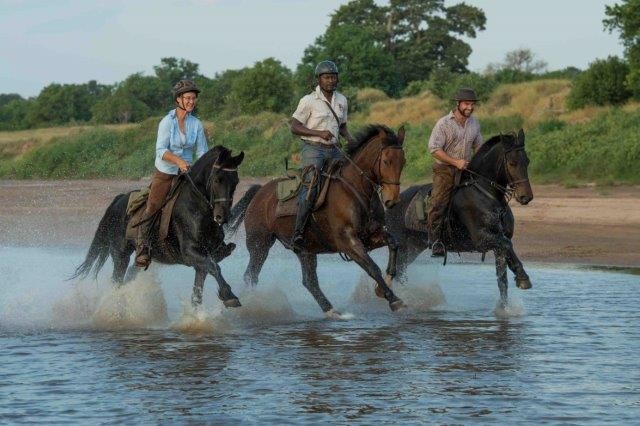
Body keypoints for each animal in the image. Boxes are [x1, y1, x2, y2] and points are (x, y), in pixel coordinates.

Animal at [71, 145, 246, 308]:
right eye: (217, 179)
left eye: (236, 182)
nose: (222, 217)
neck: (196, 207)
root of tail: (118, 201)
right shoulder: (191, 253)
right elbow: (215, 268)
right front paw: (229, 296)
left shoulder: (203, 258)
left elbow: (198, 292)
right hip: (120, 255)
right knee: (117, 281)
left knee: (129, 276)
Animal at [228, 125, 408, 314]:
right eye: (387, 161)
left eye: (403, 162)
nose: (392, 200)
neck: (355, 189)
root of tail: (259, 193)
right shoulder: (348, 243)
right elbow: (372, 268)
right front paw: (393, 299)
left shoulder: (369, 237)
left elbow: (393, 244)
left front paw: (384, 285)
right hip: (260, 245)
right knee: (251, 275)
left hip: (305, 250)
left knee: (309, 281)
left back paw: (332, 311)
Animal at [384, 130, 536, 306]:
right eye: (512, 163)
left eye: (527, 161)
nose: (526, 197)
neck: (486, 194)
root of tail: (392, 203)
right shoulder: (481, 239)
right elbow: (506, 245)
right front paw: (523, 278)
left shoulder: (498, 244)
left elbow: (503, 279)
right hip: (403, 246)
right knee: (397, 272)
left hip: (414, 247)